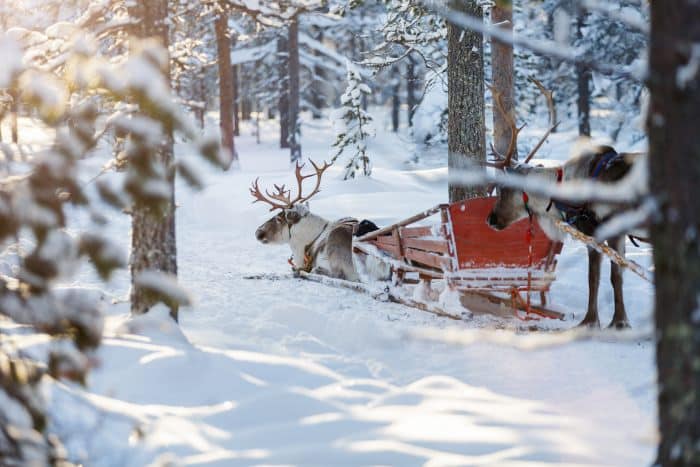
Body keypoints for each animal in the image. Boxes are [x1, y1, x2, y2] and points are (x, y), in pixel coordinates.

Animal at [485, 79, 647, 329]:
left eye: (504, 189)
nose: (489, 219)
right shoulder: (617, 234)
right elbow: (617, 276)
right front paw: (618, 321)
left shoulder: (597, 231)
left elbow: (597, 278)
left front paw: (595, 321)